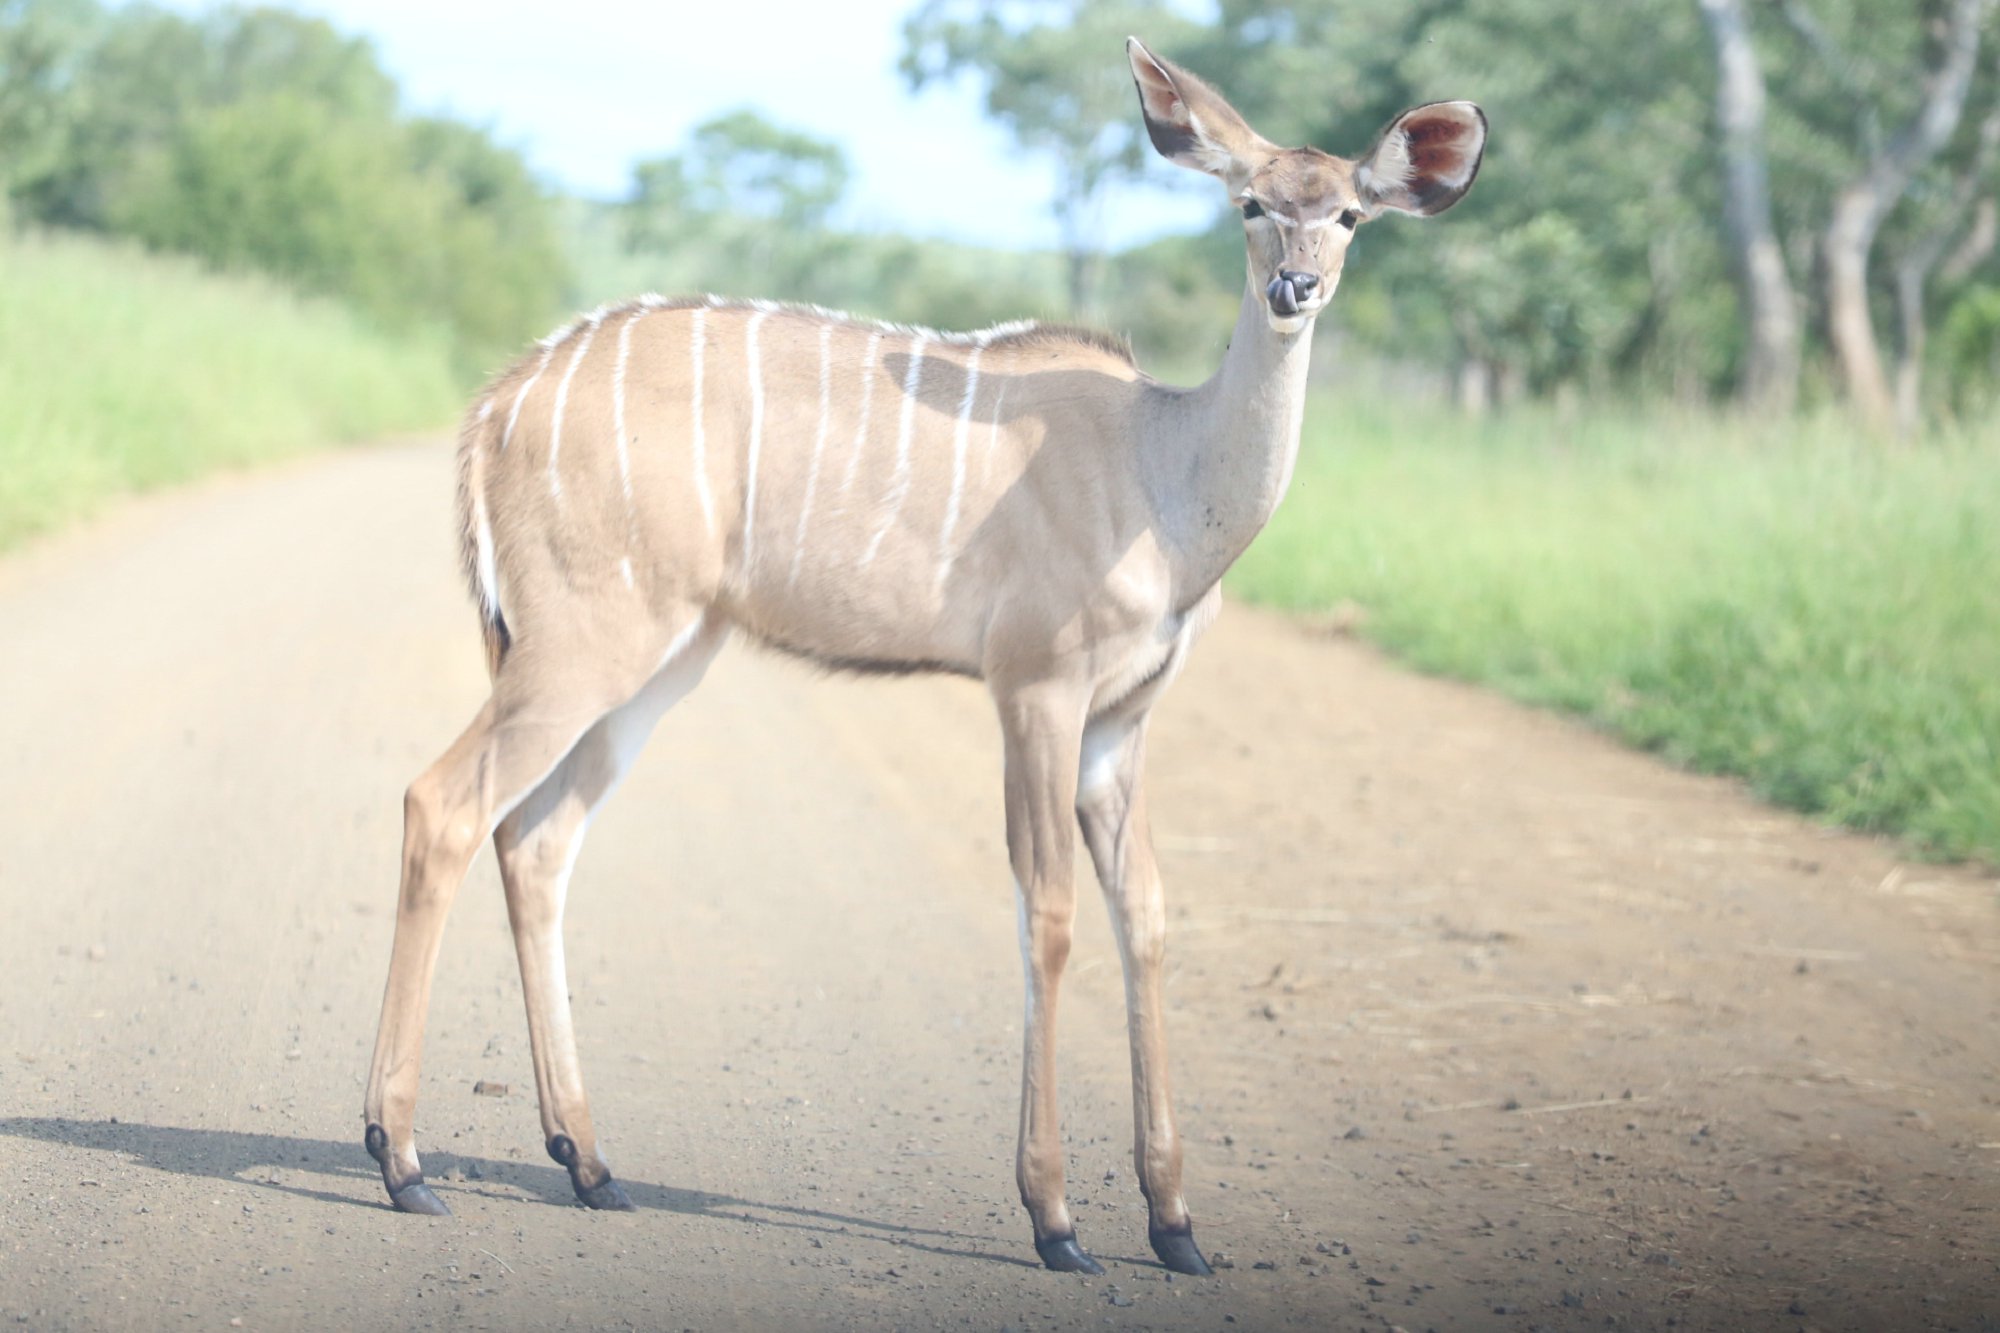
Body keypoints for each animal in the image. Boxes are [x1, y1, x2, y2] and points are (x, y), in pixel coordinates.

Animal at [364, 36, 1488, 1272]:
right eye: (1249, 203)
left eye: (1346, 214)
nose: (1295, 289)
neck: (1163, 473)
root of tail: (497, 405)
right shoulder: (1036, 687)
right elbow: (1049, 912)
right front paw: (1055, 1218)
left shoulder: (1123, 718)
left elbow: (1143, 914)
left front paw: (1177, 1224)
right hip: (583, 642)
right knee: (444, 805)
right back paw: (401, 1159)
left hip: (658, 661)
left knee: (538, 839)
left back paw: (589, 1163)